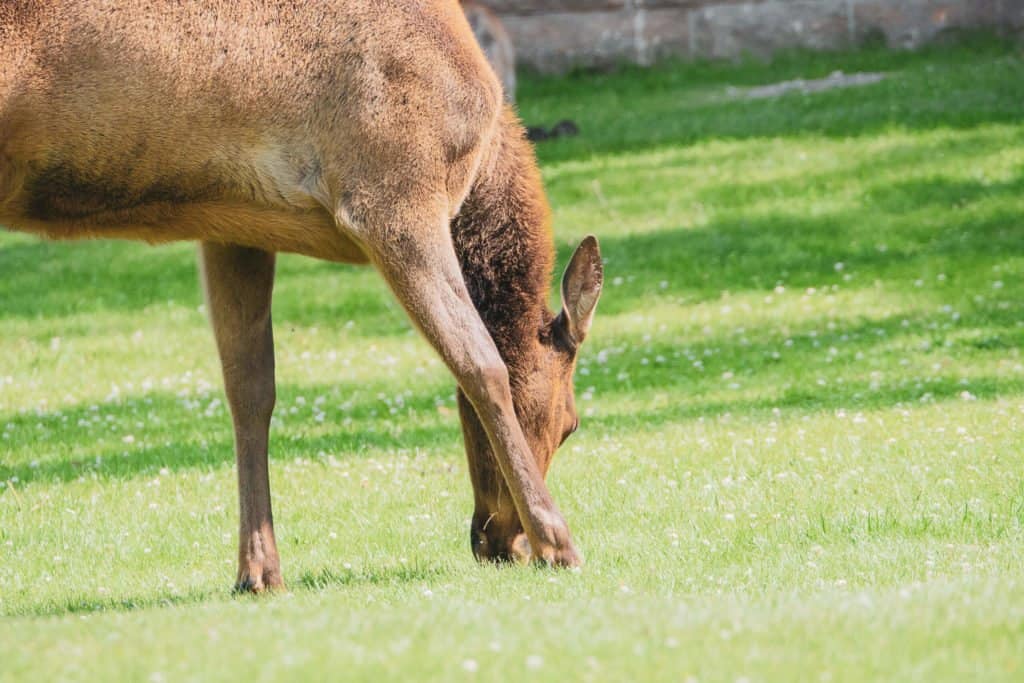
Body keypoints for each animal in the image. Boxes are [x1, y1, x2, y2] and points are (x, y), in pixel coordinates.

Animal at [0, 0, 598, 589]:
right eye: (570, 422)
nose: (499, 543)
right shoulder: (393, 194)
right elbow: (482, 363)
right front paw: (559, 542)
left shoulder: (233, 224)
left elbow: (249, 388)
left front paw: (258, 571)